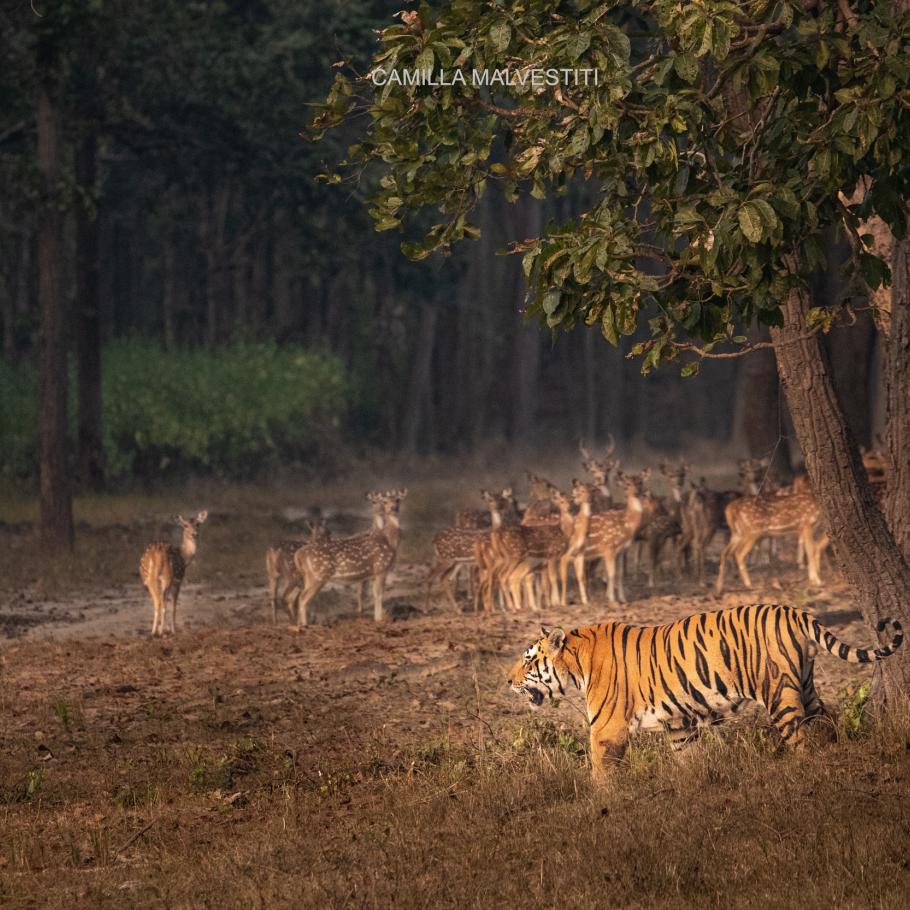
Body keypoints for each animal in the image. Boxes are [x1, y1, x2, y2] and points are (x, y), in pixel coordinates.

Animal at [139, 512, 208, 640]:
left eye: (198, 524)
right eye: (185, 525)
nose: (194, 534)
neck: (185, 557)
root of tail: (156, 554)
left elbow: (165, 603)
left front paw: (163, 629)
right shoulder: (178, 580)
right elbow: (173, 606)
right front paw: (172, 630)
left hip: (148, 579)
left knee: (157, 601)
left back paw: (153, 632)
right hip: (167, 577)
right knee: (161, 602)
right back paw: (161, 633)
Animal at [294, 492, 408, 628]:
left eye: (398, 500)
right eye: (384, 501)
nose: (393, 508)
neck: (390, 542)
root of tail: (299, 554)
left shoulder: (373, 573)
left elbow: (374, 594)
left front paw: (376, 618)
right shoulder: (381, 567)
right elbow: (379, 594)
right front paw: (379, 619)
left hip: (308, 576)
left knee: (301, 597)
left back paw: (300, 624)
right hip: (319, 574)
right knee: (302, 598)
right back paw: (305, 625)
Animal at [510, 604, 900, 776]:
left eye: (528, 661)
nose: (507, 681)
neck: (577, 663)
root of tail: (790, 609)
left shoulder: (607, 729)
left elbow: (600, 772)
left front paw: (601, 804)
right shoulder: (678, 725)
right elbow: (689, 760)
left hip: (779, 693)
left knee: (799, 737)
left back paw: (805, 771)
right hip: (804, 684)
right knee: (826, 719)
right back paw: (836, 753)